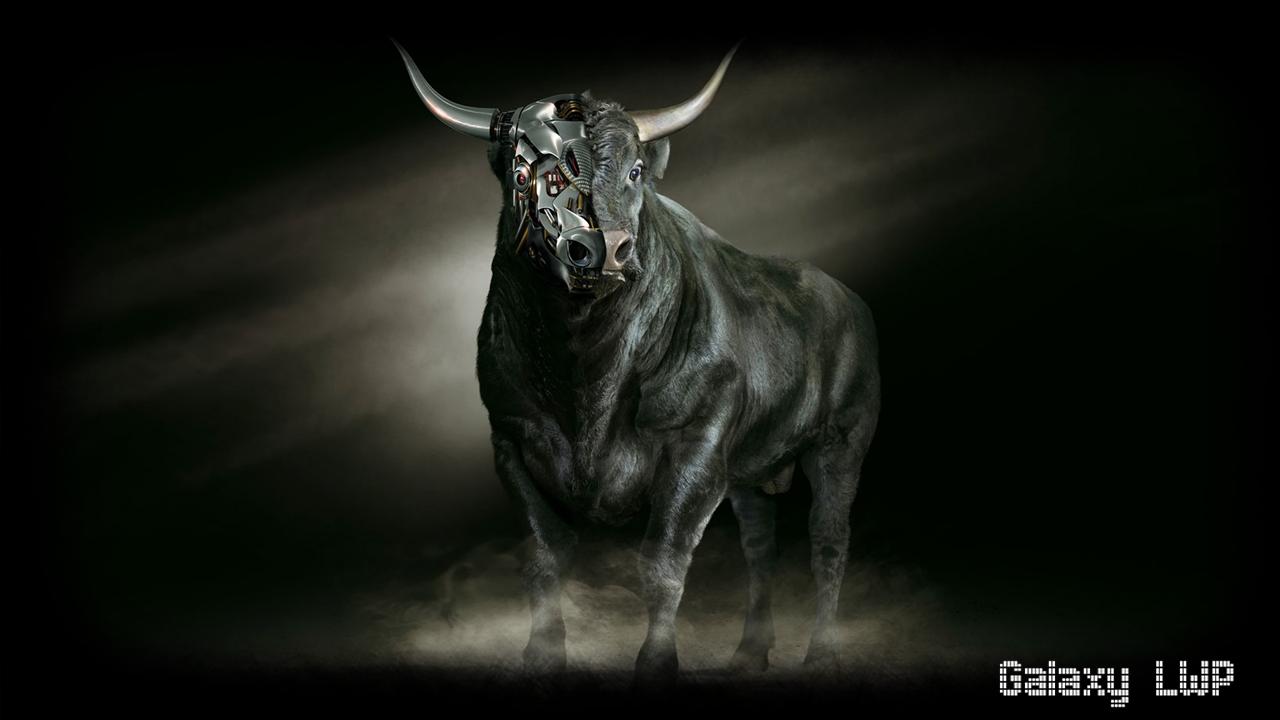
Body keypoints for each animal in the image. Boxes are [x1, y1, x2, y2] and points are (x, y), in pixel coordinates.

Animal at [394, 41, 881, 685]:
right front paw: (541, 655)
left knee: (827, 542)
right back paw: (750, 651)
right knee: (760, 546)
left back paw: (821, 654)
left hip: (840, 444)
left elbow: (663, 563)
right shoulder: (511, 442)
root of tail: (849, 300)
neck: (585, 375)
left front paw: (656, 662)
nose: (601, 249)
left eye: (635, 172)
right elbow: (543, 557)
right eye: (525, 176)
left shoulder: (696, 448)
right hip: (750, 468)